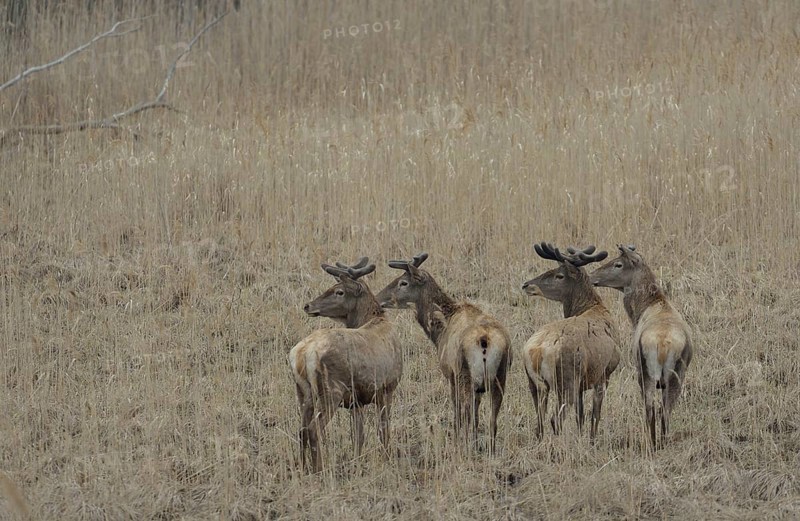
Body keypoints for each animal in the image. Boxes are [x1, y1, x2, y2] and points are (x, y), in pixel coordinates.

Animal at [290, 258, 403, 472]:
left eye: (339, 291)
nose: (308, 305)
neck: (377, 320)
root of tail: (301, 353)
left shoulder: (356, 400)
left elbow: (358, 436)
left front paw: (357, 462)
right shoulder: (387, 388)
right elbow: (383, 431)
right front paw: (386, 460)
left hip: (303, 393)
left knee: (301, 429)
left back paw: (301, 467)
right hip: (330, 392)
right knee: (313, 429)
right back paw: (319, 469)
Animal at [376, 252, 511, 453]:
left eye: (403, 282)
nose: (378, 299)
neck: (439, 331)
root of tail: (485, 340)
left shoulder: (450, 374)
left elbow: (458, 413)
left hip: (465, 374)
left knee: (466, 411)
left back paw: (464, 446)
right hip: (500, 375)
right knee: (492, 418)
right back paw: (489, 449)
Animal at [520, 243, 620, 442]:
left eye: (559, 275)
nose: (526, 285)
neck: (594, 307)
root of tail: (537, 350)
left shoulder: (584, 382)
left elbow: (580, 416)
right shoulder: (605, 373)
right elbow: (595, 414)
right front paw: (592, 441)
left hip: (535, 384)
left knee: (539, 421)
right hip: (566, 381)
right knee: (555, 419)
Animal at [590, 244, 693, 448]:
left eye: (618, 264)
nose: (592, 276)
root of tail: (663, 344)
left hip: (649, 374)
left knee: (652, 408)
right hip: (673, 375)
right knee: (663, 410)